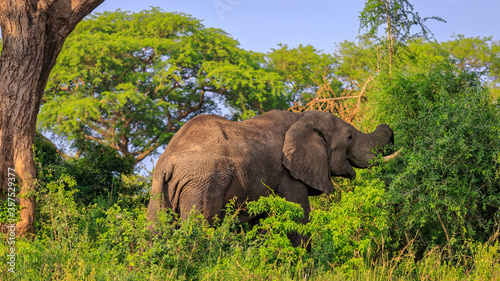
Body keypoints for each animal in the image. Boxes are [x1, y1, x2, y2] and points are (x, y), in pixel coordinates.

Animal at [148, 109, 394, 245]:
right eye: (350, 137)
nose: (390, 129)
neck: (301, 118)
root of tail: (167, 164)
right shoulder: (287, 173)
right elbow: (299, 217)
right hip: (202, 184)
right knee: (200, 229)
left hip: (159, 191)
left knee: (154, 235)